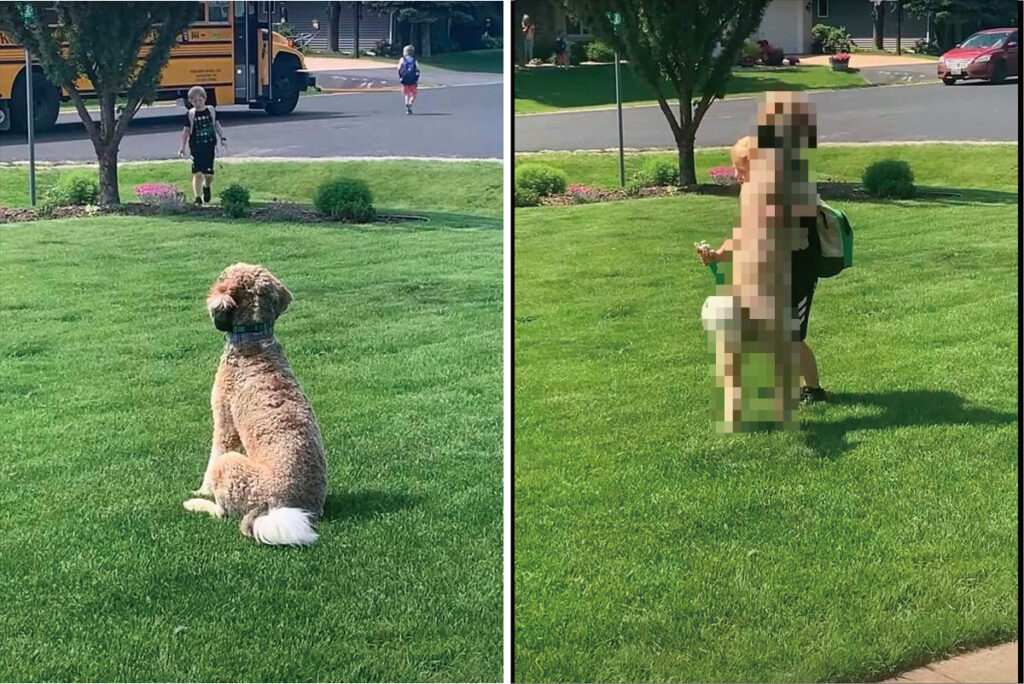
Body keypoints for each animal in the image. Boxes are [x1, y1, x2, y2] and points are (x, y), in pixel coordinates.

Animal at [184, 262, 325, 544]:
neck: (255, 336)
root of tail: (287, 507)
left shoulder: (225, 424)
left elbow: (212, 458)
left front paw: (202, 490)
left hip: (232, 467)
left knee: (222, 511)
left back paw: (196, 503)